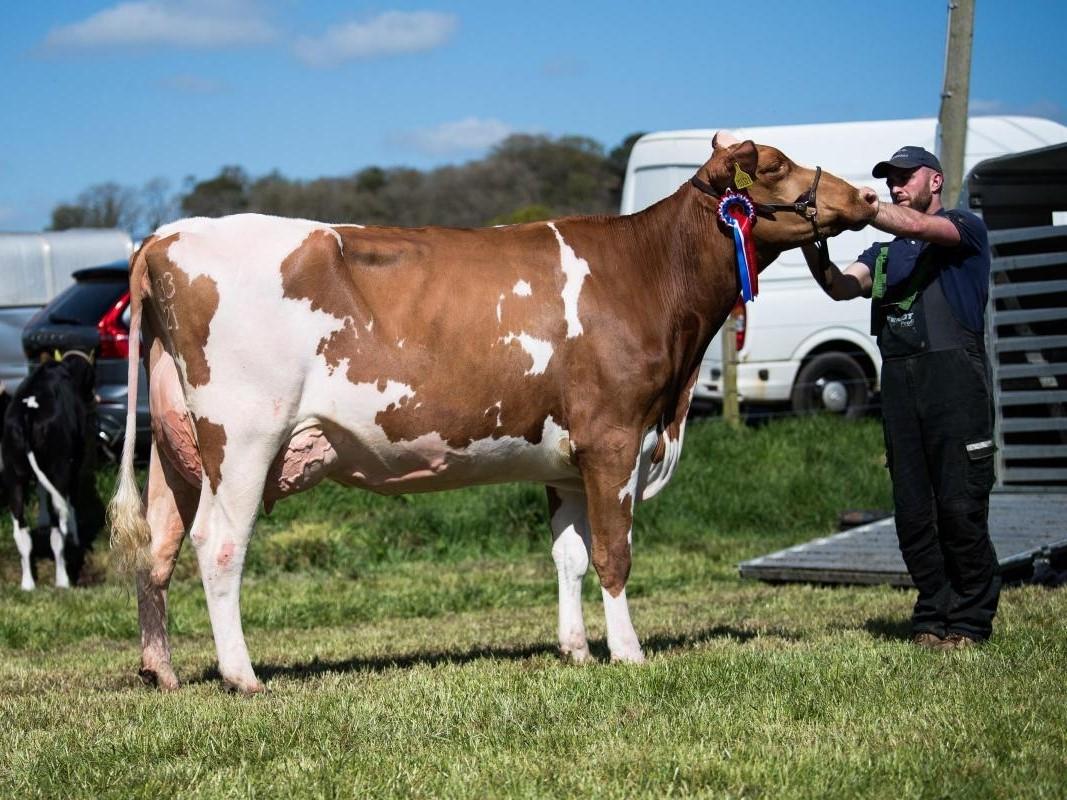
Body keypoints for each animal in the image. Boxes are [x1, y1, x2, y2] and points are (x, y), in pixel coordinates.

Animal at [2, 354, 96, 593]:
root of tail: (28, 413)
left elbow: (42, 490)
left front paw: (42, 518)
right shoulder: (74, 464)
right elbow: (70, 504)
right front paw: (75, 535)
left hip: (13, 475)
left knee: (21, 532)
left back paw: (27, 584)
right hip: (59, 467)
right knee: (57, 533)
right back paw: (62, 581)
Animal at [110, 134, 874, 691]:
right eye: (775, 166)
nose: (866, 193)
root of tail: (164, 238)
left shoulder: (564, 459)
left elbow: (569, 554)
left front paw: (575, 650)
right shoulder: (614, 438)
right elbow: (614, 553)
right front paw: (627, 652)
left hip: (174, 446)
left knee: (159, 547)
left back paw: (162, 672)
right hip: (244, 437)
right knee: (219, 544)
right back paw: (243, 677)